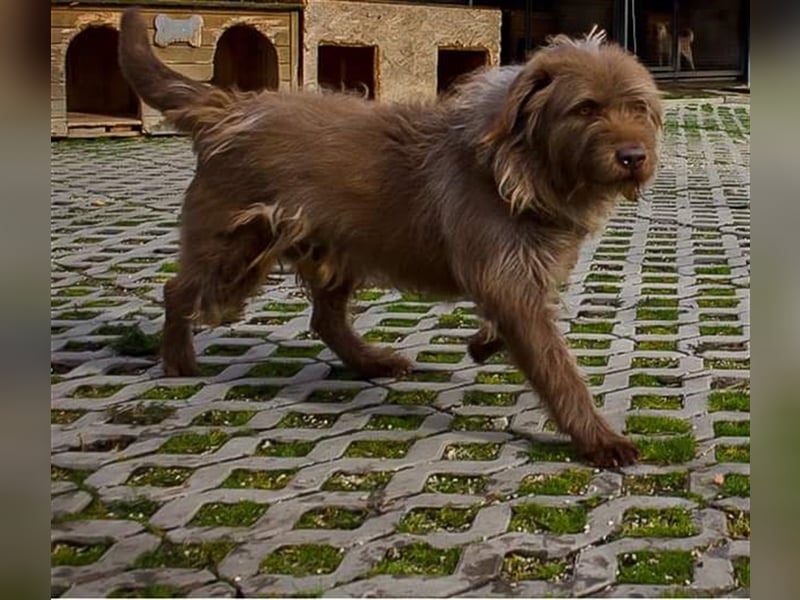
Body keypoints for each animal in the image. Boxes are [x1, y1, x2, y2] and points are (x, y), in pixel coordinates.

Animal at [117, 10, 664, 468]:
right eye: (585, 109)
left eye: (637, 107)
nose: (634, 157)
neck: (525, 168)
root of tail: (229, 108)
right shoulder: (509, 280)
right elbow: (556, 366)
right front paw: (597, 438)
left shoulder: (525, 277)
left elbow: (510, 322)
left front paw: (484, 342)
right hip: (235, 249)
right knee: (179, 290)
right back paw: (178, 360)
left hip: (331, 245)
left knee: (325, 317)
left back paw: (370, 361)